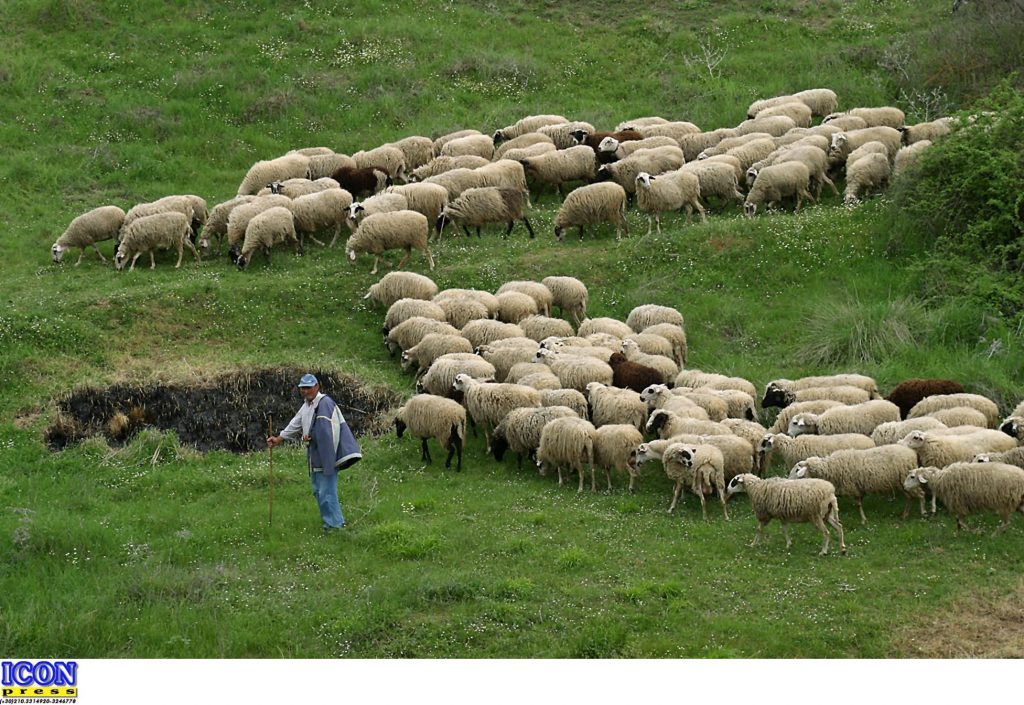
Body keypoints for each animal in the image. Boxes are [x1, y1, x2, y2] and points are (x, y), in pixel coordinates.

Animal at [786, 446, 925, 522]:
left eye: (797, 470)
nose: (788, 480)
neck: (830, 468)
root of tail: (912, 453)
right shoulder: (858, 487)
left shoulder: (853, 487)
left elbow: (858, 504)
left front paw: (863, 520)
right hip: (902, 484)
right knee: (910, 498)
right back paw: (904, 515)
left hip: (907, 481)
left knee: (920, 494)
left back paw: (923, 513)